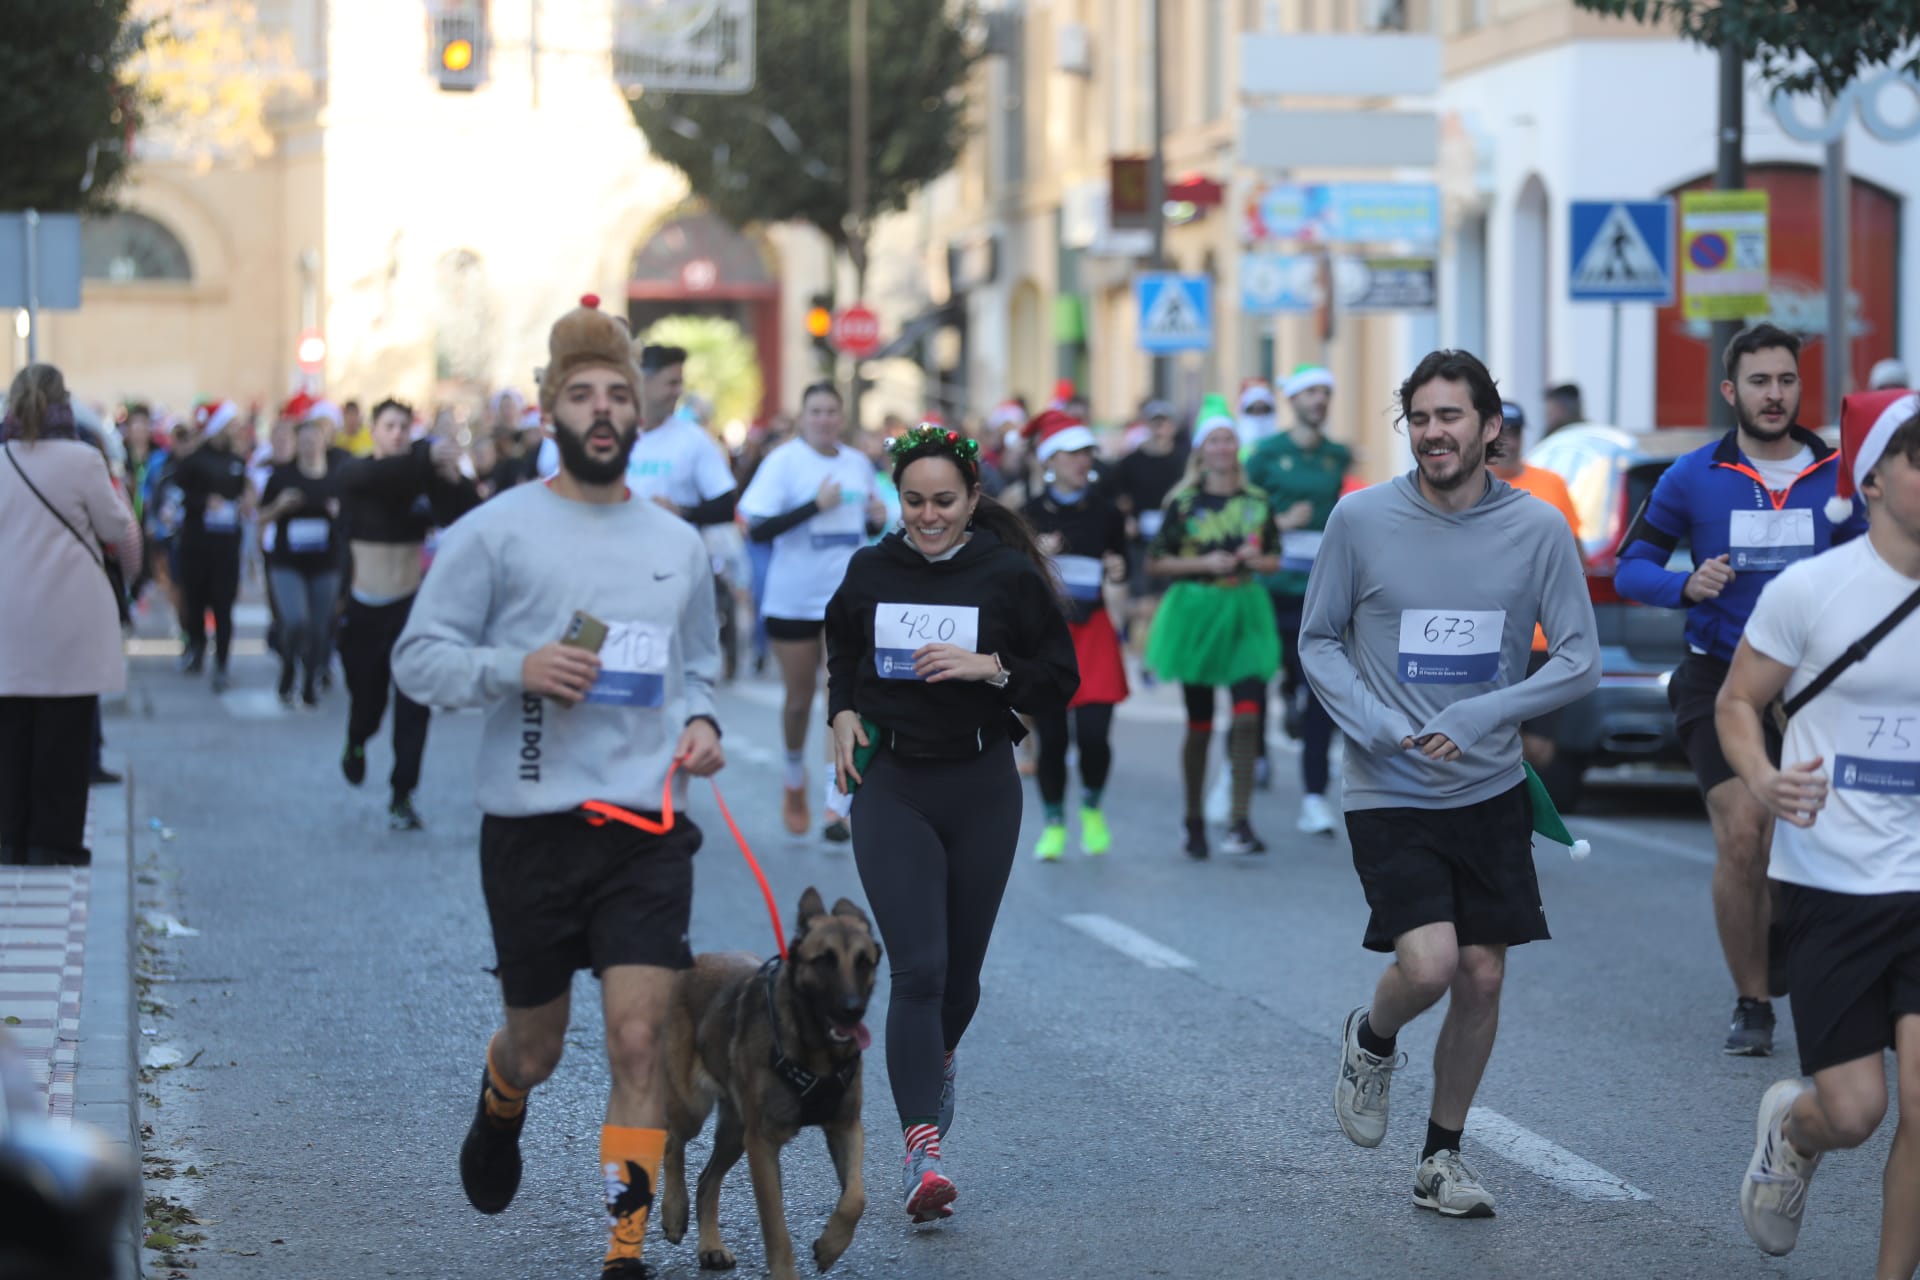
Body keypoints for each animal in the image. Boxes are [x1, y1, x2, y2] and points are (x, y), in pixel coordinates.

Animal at [652, 886, 879, 1274]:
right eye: (824, 960)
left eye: (865, 962)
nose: (853, 1010)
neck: (816, 1054)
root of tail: (699, 960)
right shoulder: (763, 1145)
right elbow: (776, 1229)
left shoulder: (845, 1127)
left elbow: (855, 1198)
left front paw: (831, 1245)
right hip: (693, 1108)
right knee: (672, 1143)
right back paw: (673, 1212)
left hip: (735, 1133)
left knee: (706, 1181)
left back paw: (710, 1245)